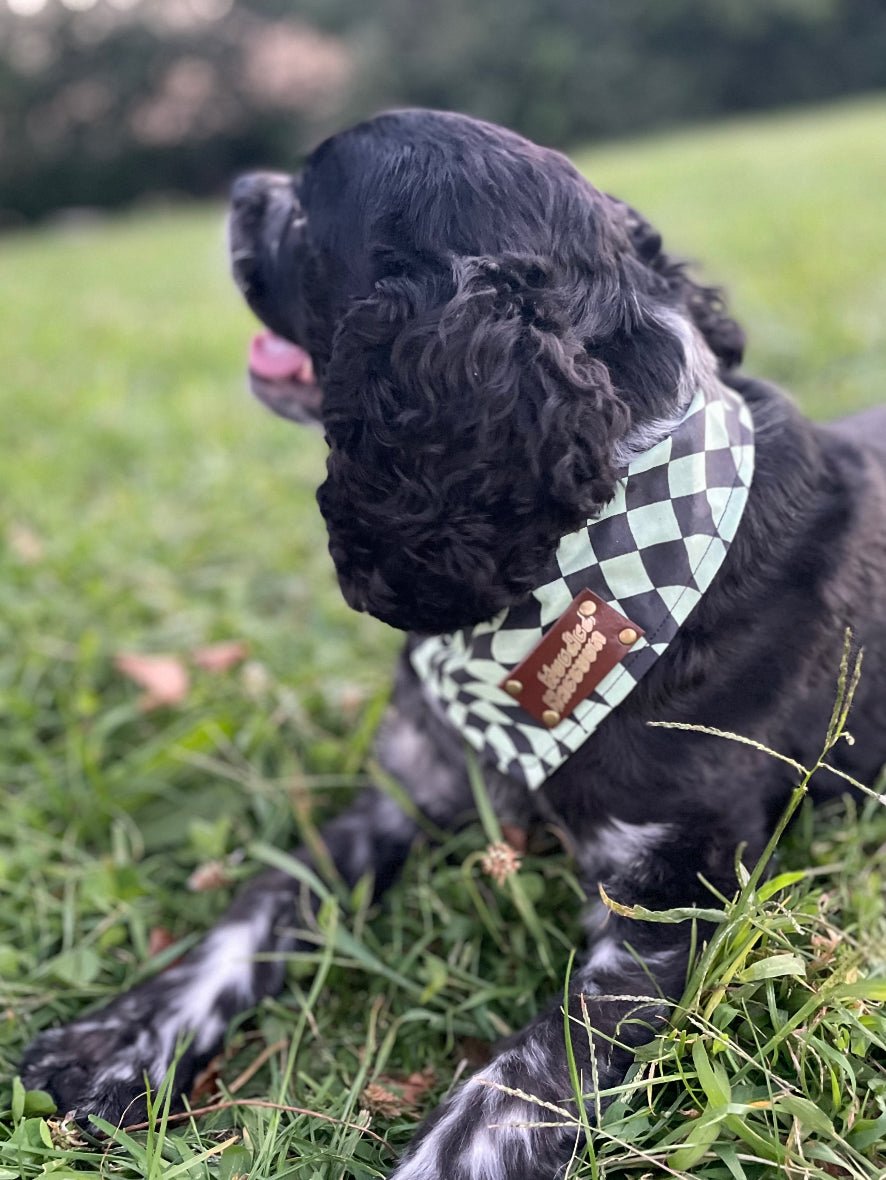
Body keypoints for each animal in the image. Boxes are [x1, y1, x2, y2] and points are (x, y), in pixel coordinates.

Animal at [20, 108, 886, 1170]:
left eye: (304, 213)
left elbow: (507, 1091)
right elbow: (259, 901)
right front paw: (120, 1043)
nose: (241, 189)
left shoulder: (672, 901)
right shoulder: (407, 784)